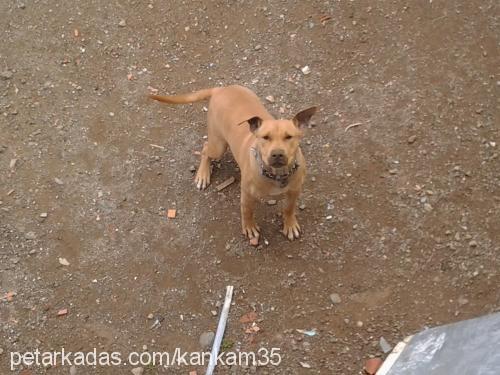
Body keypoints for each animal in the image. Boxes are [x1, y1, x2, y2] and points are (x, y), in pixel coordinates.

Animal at [150, 86, 318, 242]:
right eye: (265, 137)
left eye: (289, 137)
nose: (277, 154)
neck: (276, 174)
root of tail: (220, 88)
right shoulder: (247, 195)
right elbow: (247, 212)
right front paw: (249, 227)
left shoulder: (294, 191)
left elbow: (289, 209)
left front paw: (290, 225)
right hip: (218, 145)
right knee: (205, 148)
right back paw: (203, 175)